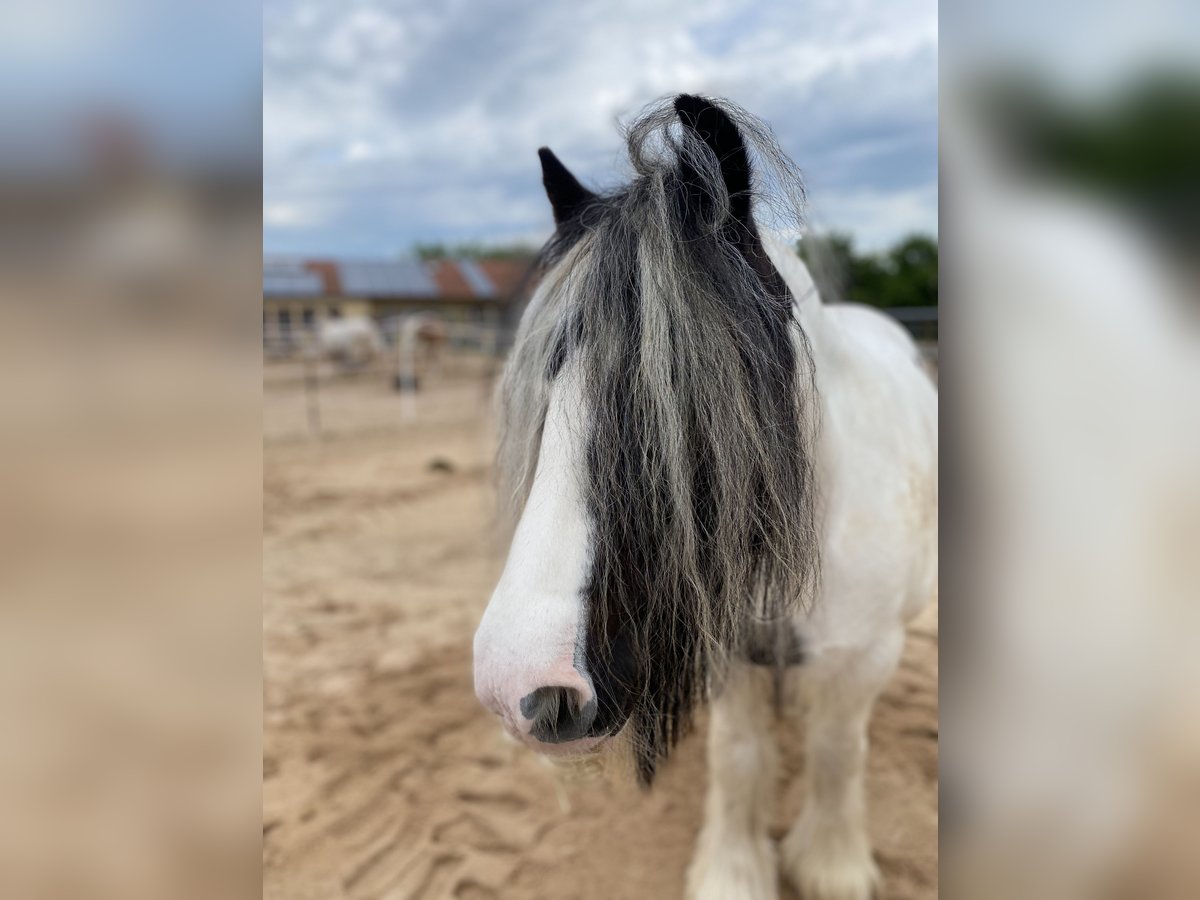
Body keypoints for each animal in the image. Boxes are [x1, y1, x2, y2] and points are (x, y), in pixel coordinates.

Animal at [473, 95, 937, 900]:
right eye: (546, 383)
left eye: (692, 393)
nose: (516, 686)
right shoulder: (729, 655)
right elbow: (740, 758)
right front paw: (733, 871)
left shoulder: (864, 655)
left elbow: (837, 748)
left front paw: (832, 865)